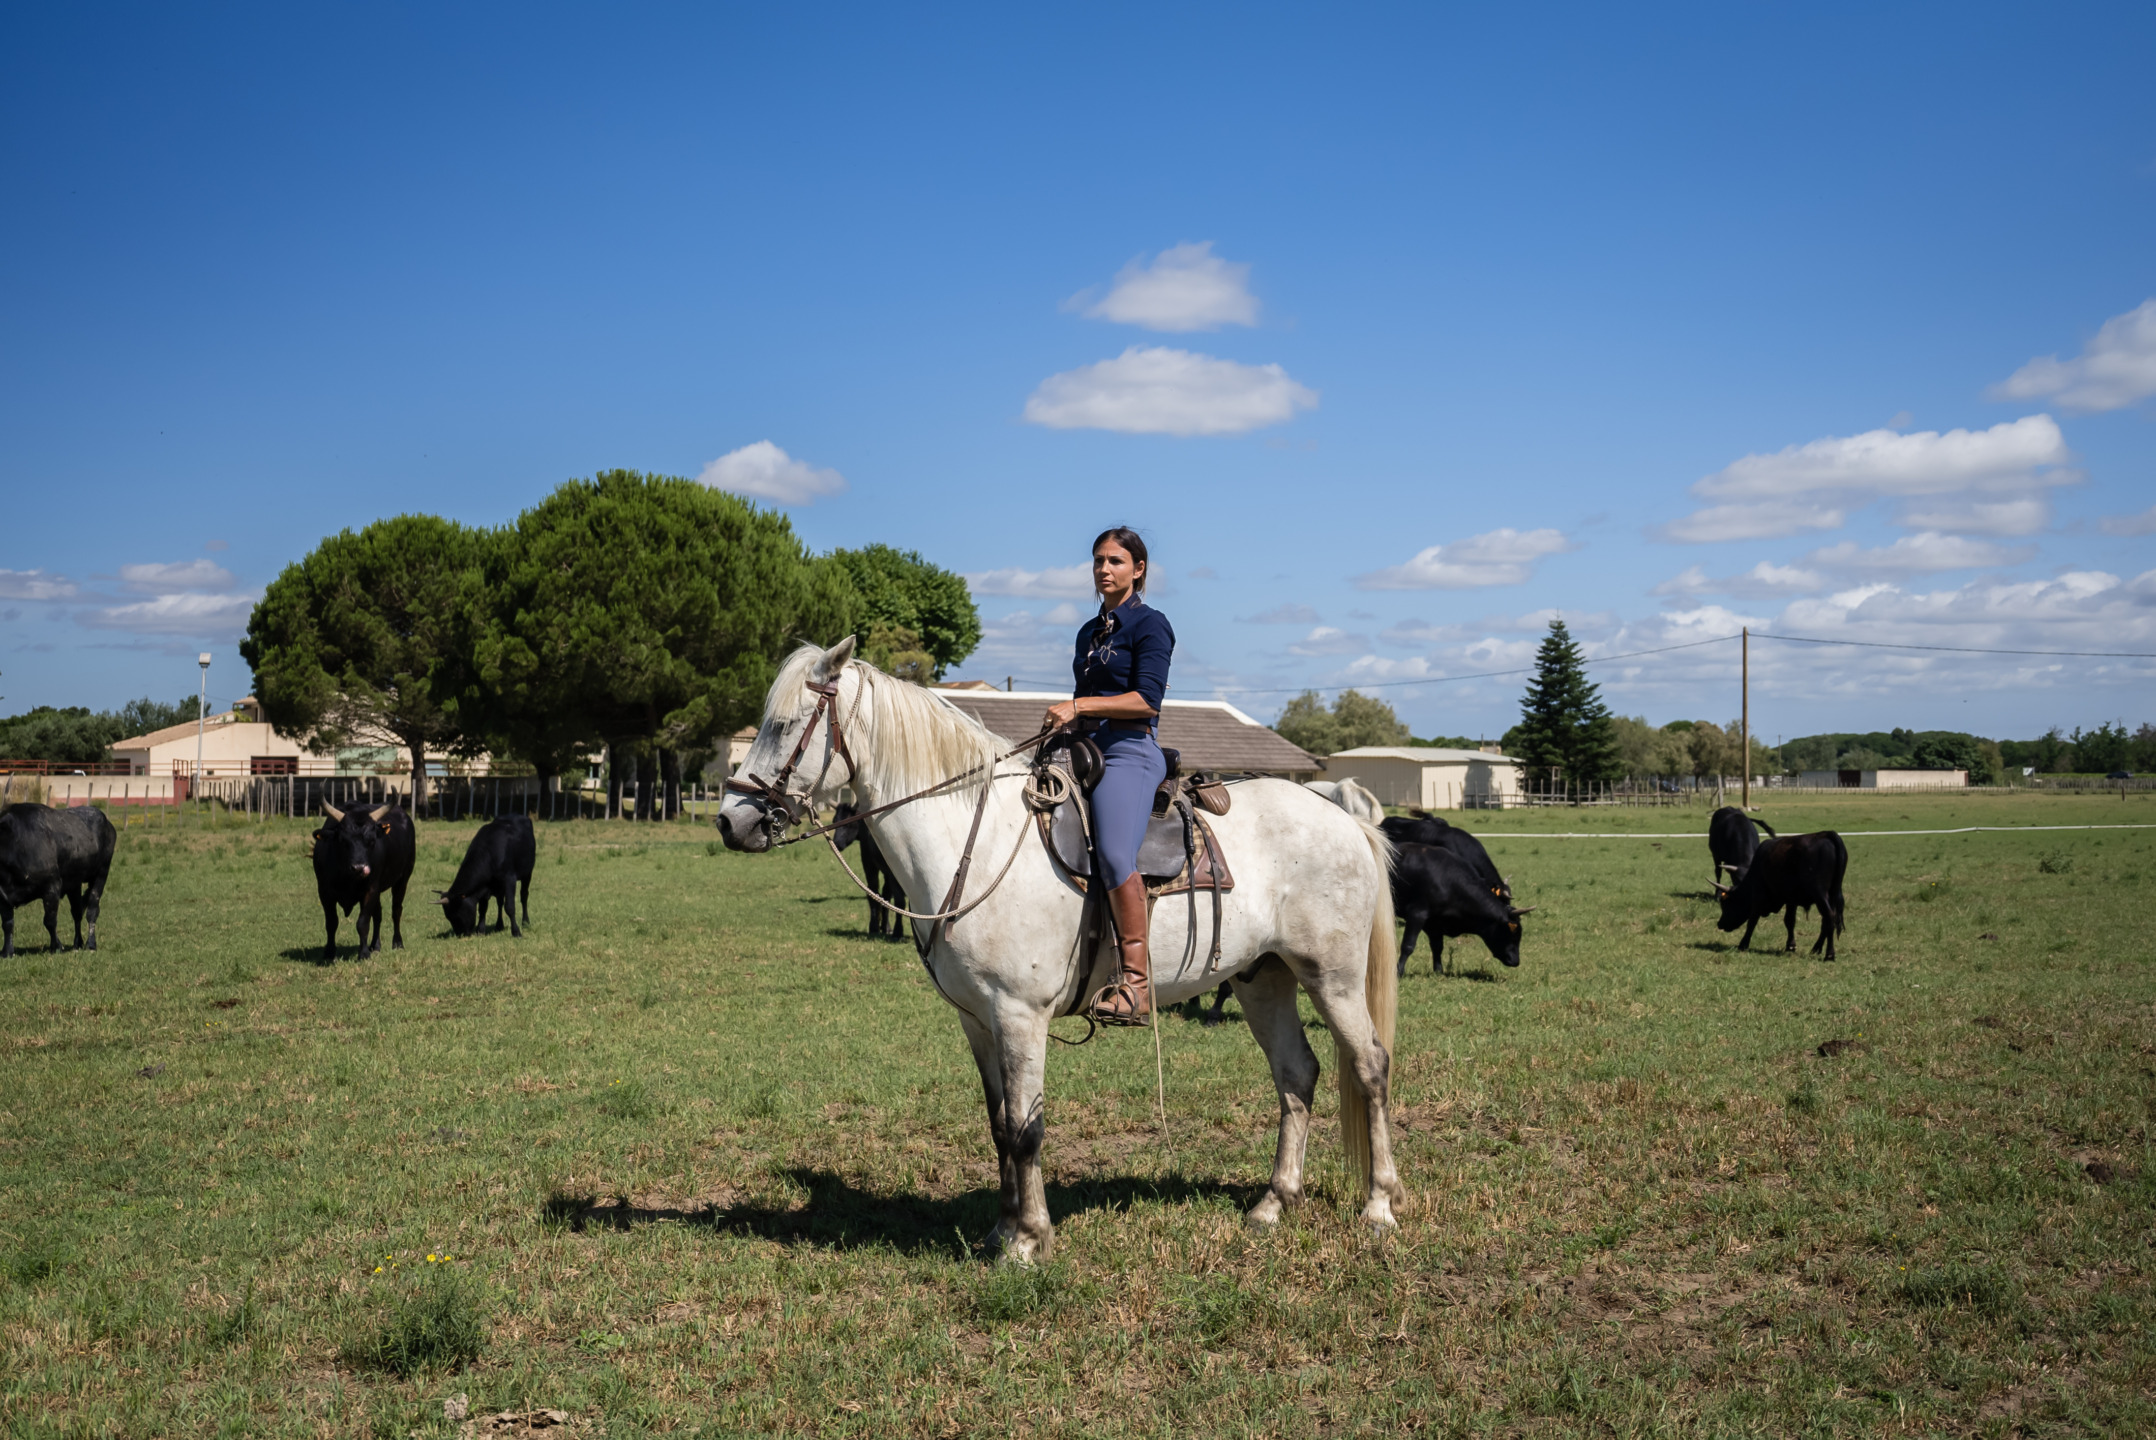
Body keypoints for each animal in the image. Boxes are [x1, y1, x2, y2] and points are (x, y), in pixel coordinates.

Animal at [719, 638, 1405, 1261]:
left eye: (784, 725)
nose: (731, 822)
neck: (975, 840)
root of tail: (1345, 818)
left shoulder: (1020, 1015)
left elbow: (1027, 1129)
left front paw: (1029, 1240)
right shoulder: (977, 1020)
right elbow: (999, 1125)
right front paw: (1000, 1231)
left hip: (1332, 976)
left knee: (1369, 1065)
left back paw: (1378, 1205)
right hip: (1263, 978)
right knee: (1297, 1073)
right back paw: (1273, 1203)